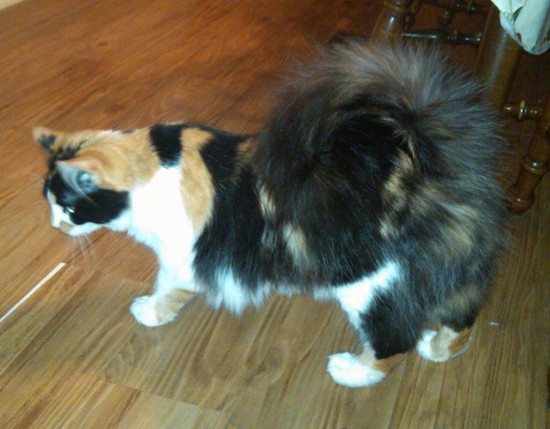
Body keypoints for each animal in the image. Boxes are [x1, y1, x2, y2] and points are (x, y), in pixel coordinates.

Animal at [34, 41, 508, 386]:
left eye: (68, 207)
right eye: (50, 203)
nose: (54, 226)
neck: (152, 164)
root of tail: (423, 162)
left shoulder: (181, 257)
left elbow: (167, 289)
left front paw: (149, 312)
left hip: (370, 286)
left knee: (393, 341)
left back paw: (351, 371)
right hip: (452, 269)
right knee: (464, 312)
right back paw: (440, 348)